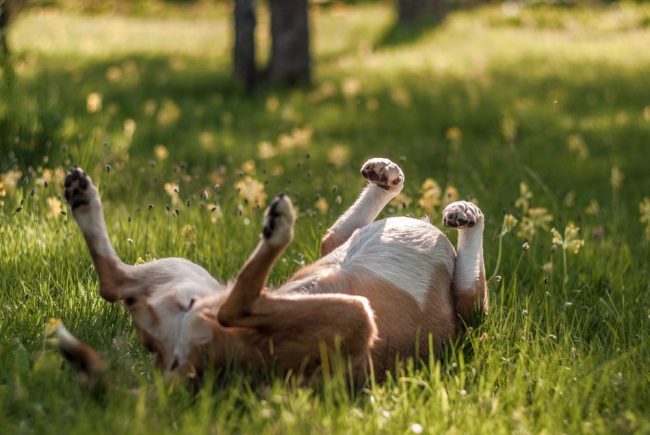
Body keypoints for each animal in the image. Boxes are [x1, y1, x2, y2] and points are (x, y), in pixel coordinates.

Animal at [53, 157, 484, 384]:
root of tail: (178, 361)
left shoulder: (470, 313)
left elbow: (471, 289)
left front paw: (467, 214)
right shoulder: (335, 240)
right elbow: (350, 222)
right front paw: (387, 174)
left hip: (355, 314)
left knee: (228, 305)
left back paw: (279, 227)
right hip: (190, 277)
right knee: (116, 281)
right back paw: (82, 196)